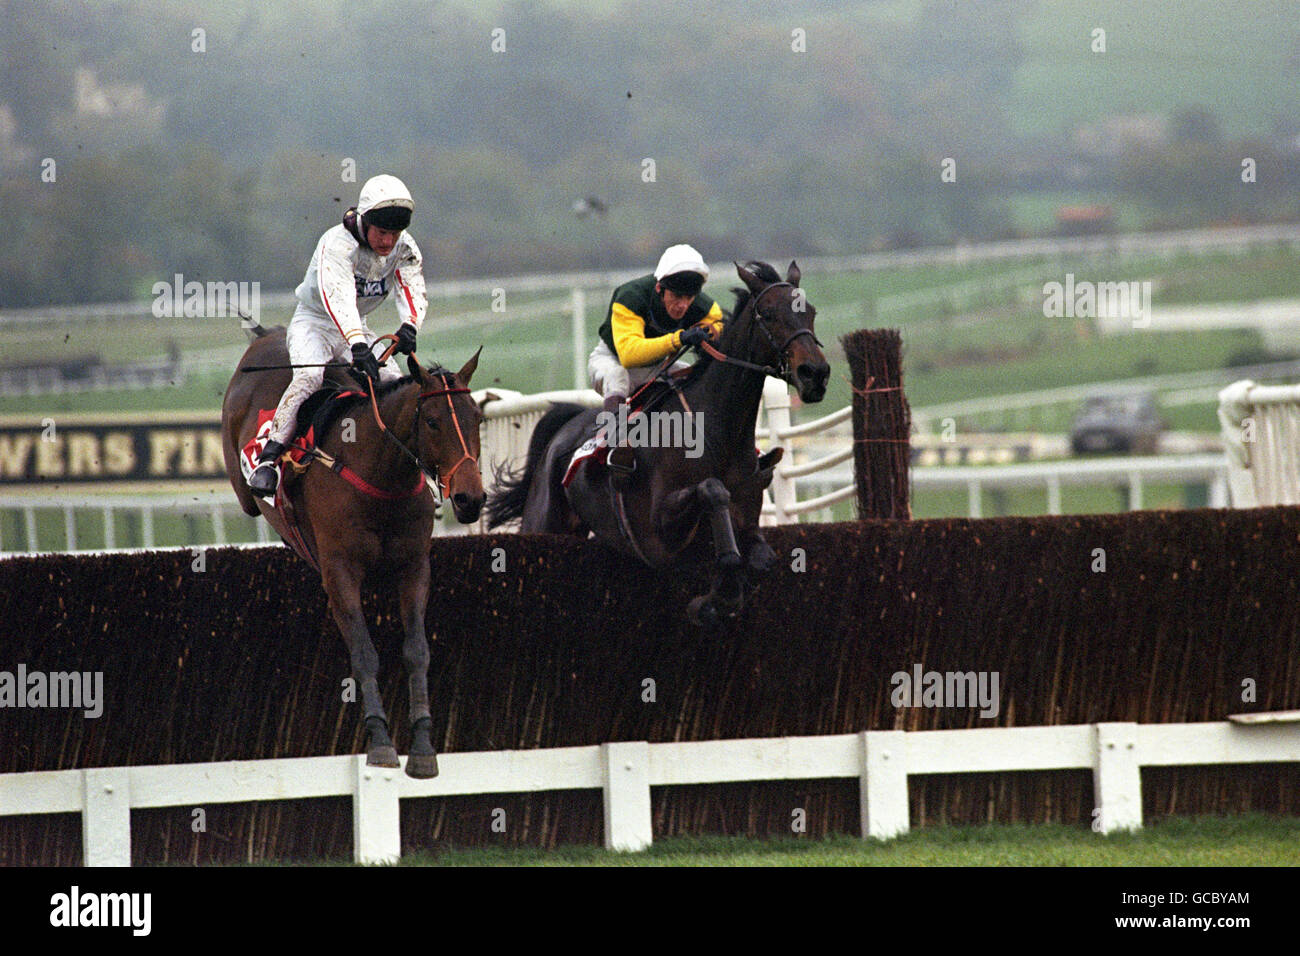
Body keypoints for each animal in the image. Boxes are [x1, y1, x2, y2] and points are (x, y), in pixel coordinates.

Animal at [220, 329, 486, 780]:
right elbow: (364, 654)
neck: (379, 473)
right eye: (433, 422)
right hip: (245, 490)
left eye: (477, 420)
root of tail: (265, 336)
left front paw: (423, 746)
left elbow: (417, 651)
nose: (471, 498)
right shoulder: (340, 571)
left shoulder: (414, 567)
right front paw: (380, 741)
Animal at [488, 257, 832, 624]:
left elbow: (760, 560)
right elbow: (712, 491)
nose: (815, 374)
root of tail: (565, 429)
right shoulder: (660, 532)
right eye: (767, 313)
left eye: (810, 311)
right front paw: (712, 598)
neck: (718, 435)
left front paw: (724, 593)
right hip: (544, 521)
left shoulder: (751, 520)